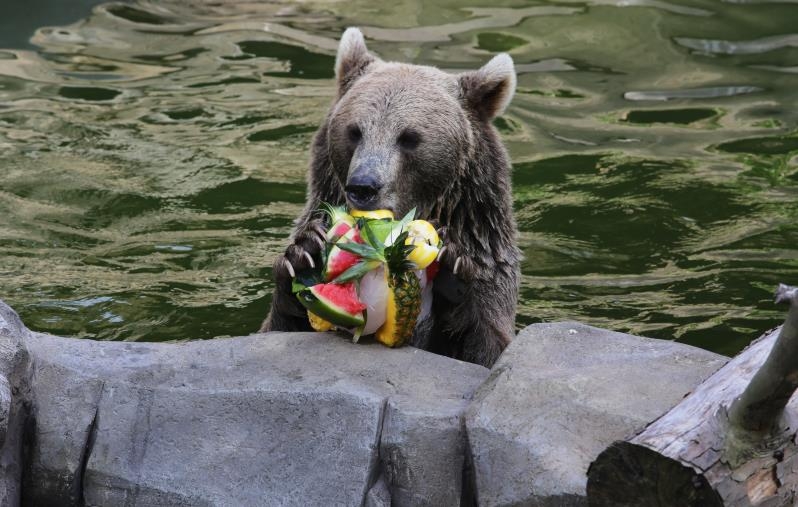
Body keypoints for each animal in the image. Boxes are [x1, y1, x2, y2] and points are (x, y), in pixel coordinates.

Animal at [262, 27, 520, 368]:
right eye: (355, 131)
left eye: (409, 137)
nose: (363, 186)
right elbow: (276, 326)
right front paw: (305, 255)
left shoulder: (484, 248)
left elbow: (487, 343)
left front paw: (452, 269)